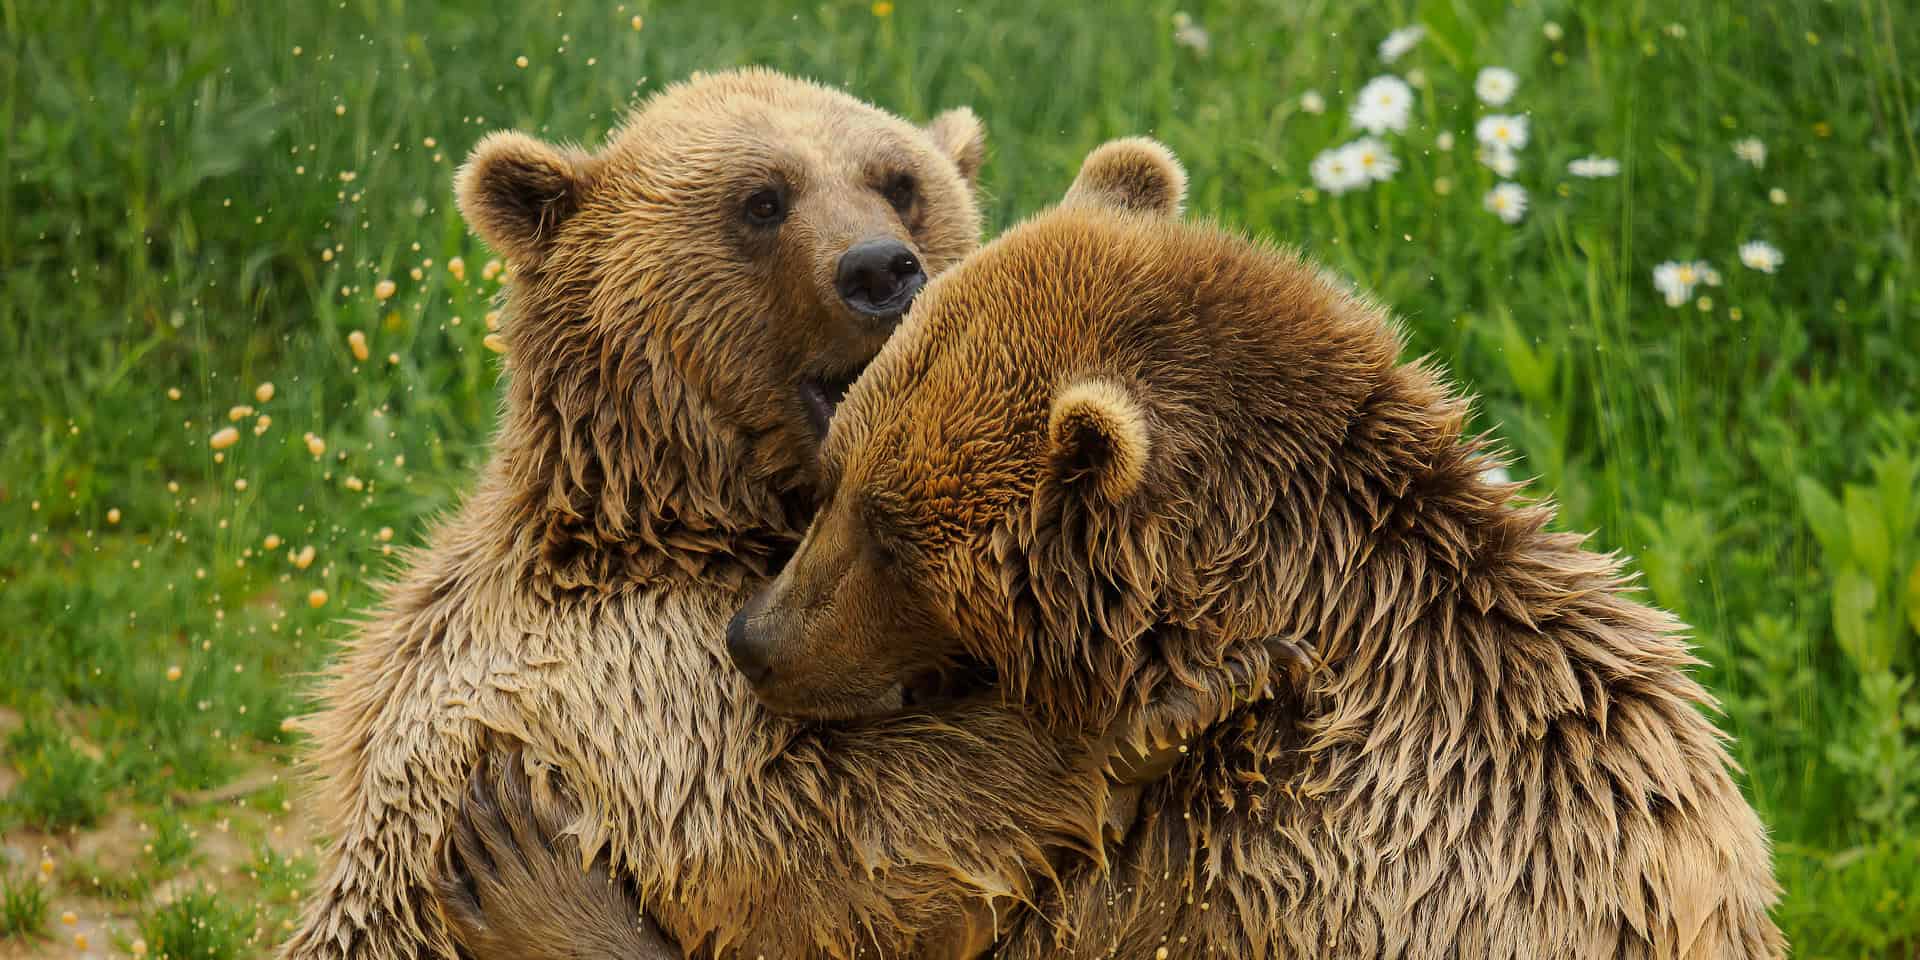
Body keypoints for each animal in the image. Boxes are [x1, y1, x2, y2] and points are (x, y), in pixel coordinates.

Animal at [281, 70, 1247, 960]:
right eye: (761, 200)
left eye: (900, 180)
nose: (879, 269)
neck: (679, 513)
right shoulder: (609, 674)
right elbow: (811, 835)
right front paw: (1156, 704)